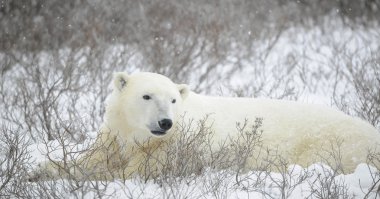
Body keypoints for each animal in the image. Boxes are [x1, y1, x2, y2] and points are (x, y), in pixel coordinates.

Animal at [33, 71, 380, 180]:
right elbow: (90, 158)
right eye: (147, 96)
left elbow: (134, 172)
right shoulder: (113, 137)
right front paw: (39, 171)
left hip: (332, 143)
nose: (165, 122)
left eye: (173, 99)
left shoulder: (173, 148)